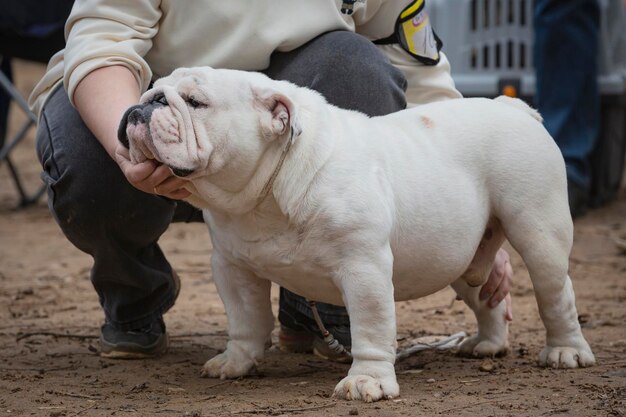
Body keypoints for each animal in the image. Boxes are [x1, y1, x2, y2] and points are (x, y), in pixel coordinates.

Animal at [118, 66, 596, 402]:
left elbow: (370, 326)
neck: (267, 189)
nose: (144, 105)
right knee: (485, 295)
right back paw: (486, 344)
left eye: (195, 102)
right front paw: (235, 362)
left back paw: (566, 352)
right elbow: (245, 320)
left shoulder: (363, 268)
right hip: (459, 252)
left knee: (556, 293)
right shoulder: (233, 269)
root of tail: (513, 107)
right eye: (150, 89)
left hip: (538, 229)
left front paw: (367, 381)